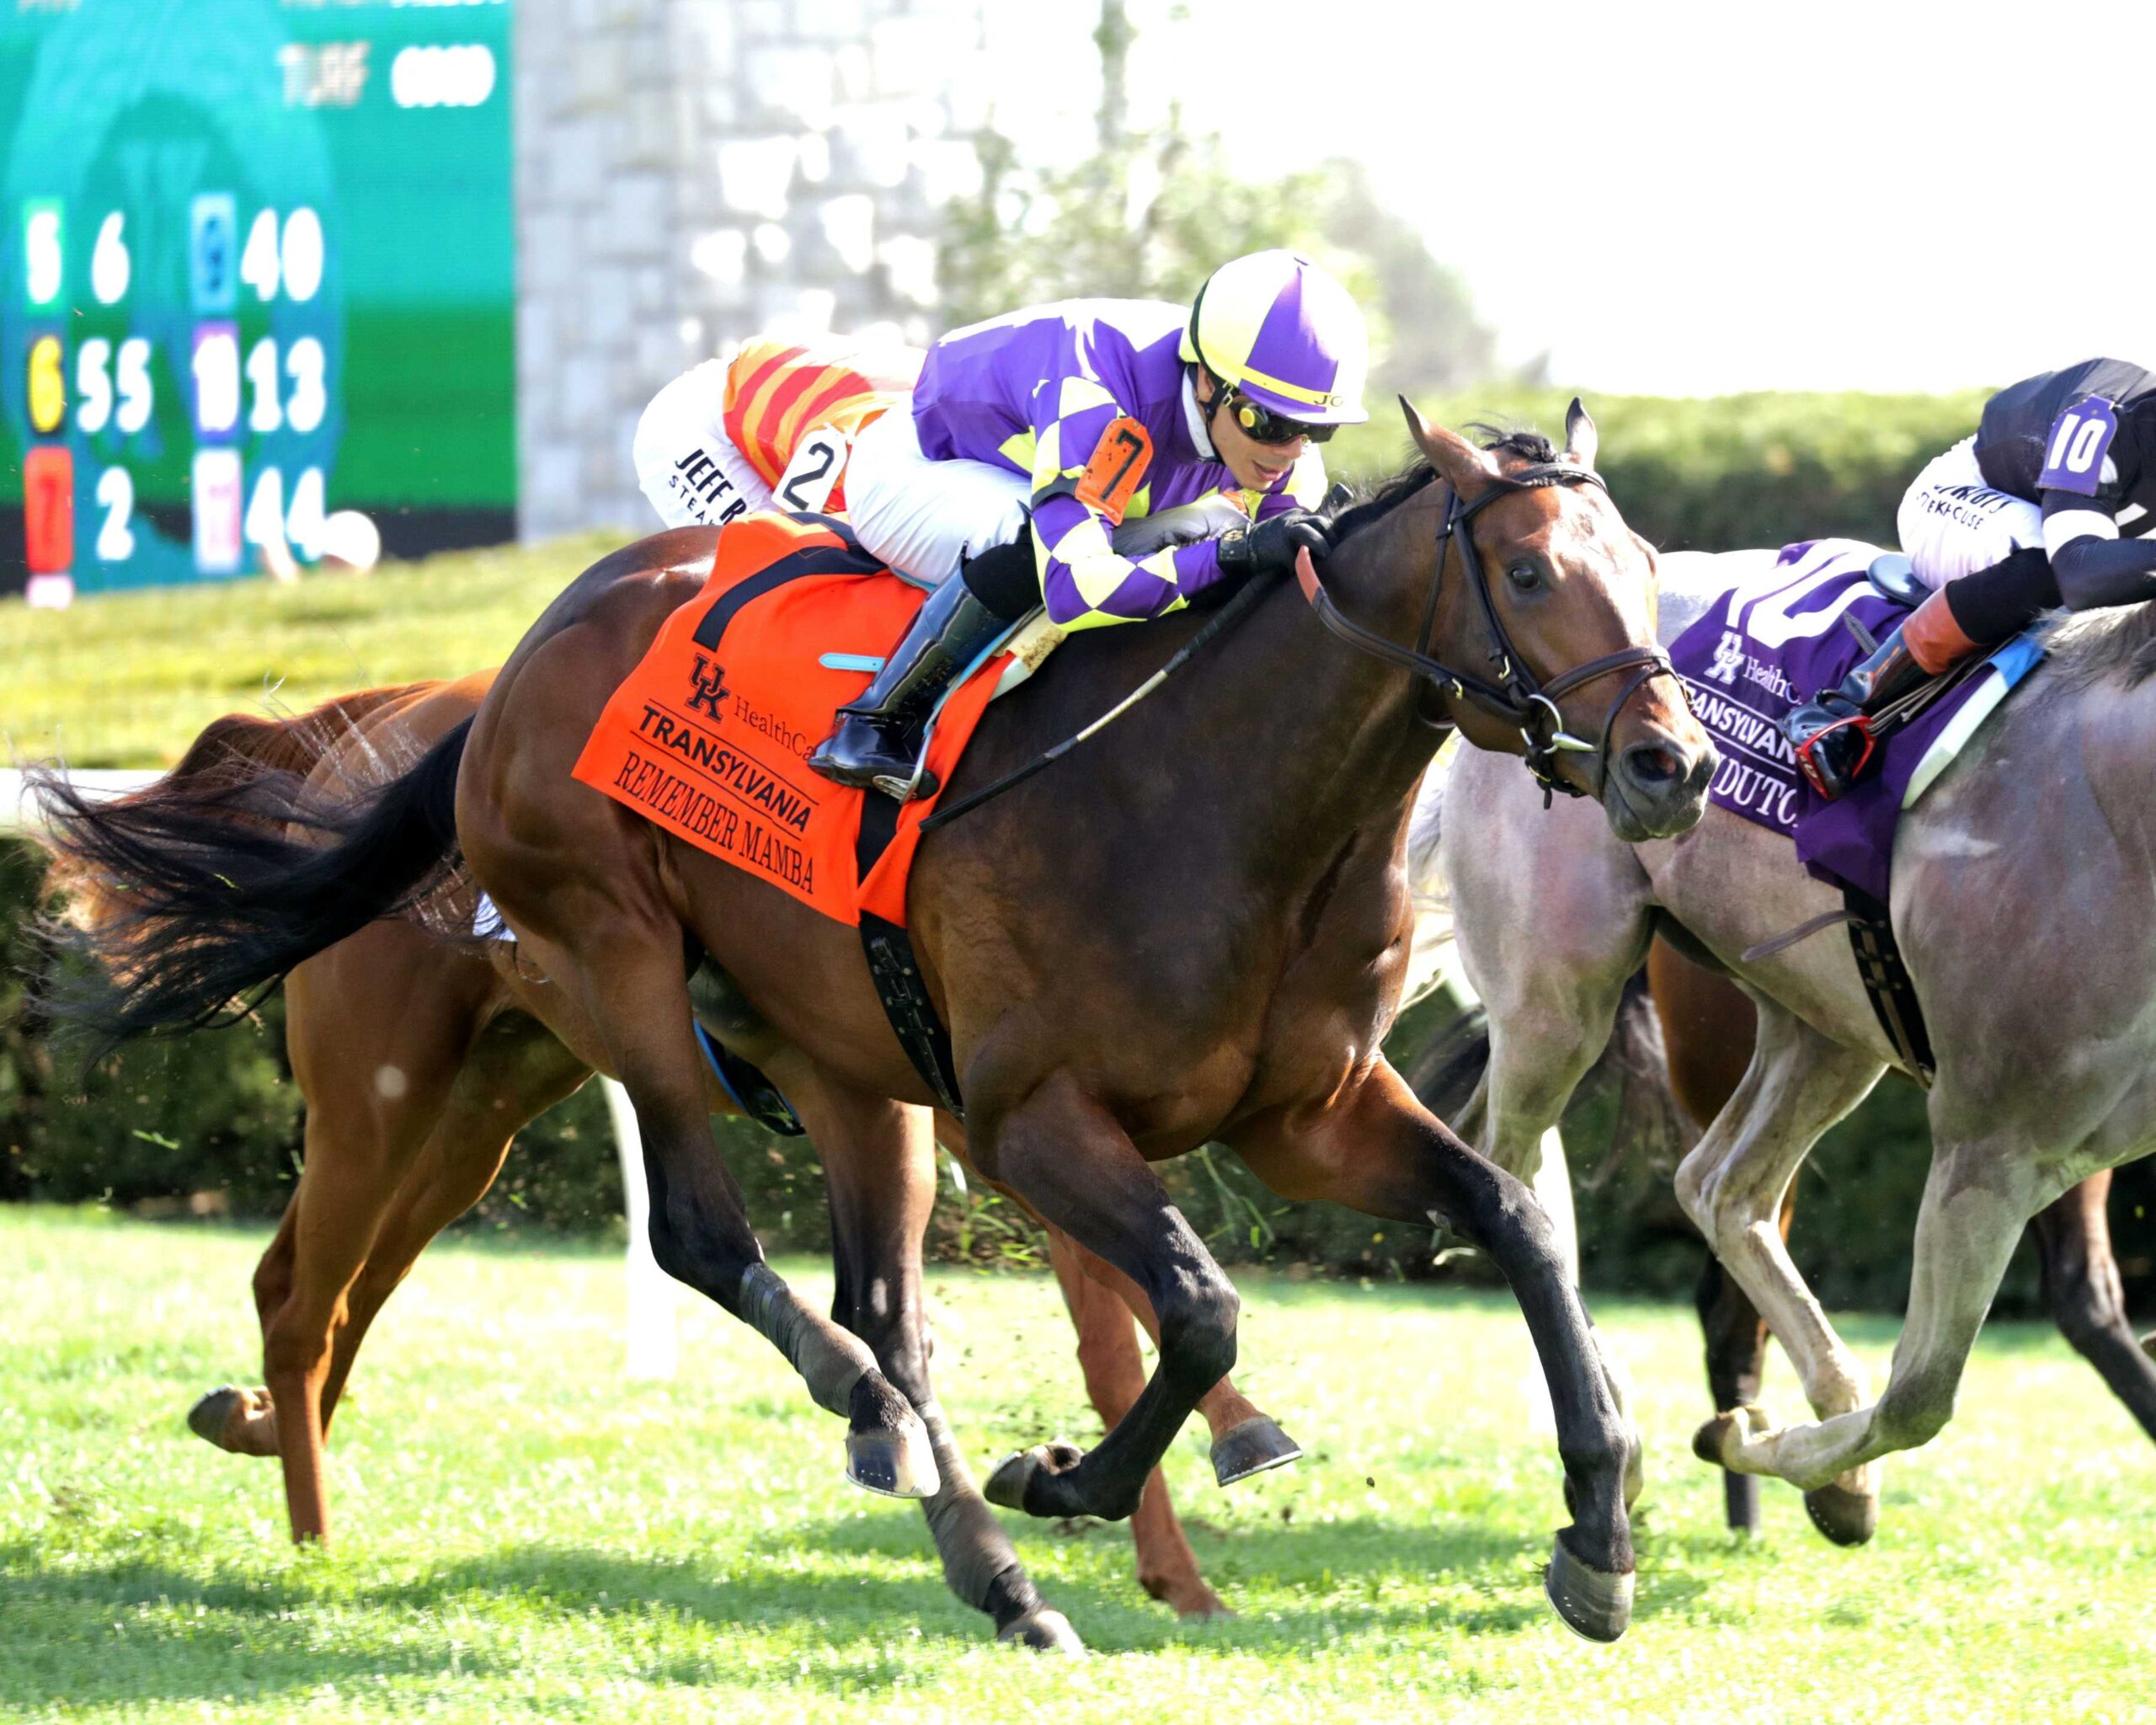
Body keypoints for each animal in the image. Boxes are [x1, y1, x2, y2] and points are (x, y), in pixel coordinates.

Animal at [36, 403, 1714, 1647]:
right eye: (1531, 572)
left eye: (1645, 562)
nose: (1671, 764)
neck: (1211, 797)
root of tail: (499, 677)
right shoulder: (1035, 1114)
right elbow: (1195, 1306)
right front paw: (1067, 1478)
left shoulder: (1310, 1112)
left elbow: (1512, 1220)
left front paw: (1600, 1532)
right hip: (574, 984)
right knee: (662, 1246)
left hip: (678, 1088)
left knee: (859, 1310)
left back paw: (992, 1570)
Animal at [1429, 548, 2156, 1545]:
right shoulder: (1992, 1144)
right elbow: (1919, 1396)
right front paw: (1765, 1447)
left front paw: (1789, 1455)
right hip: (1557, 996)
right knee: (1510, 1172)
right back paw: (1623, 1435)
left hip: (1821, 1021)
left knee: (1719, 1187)